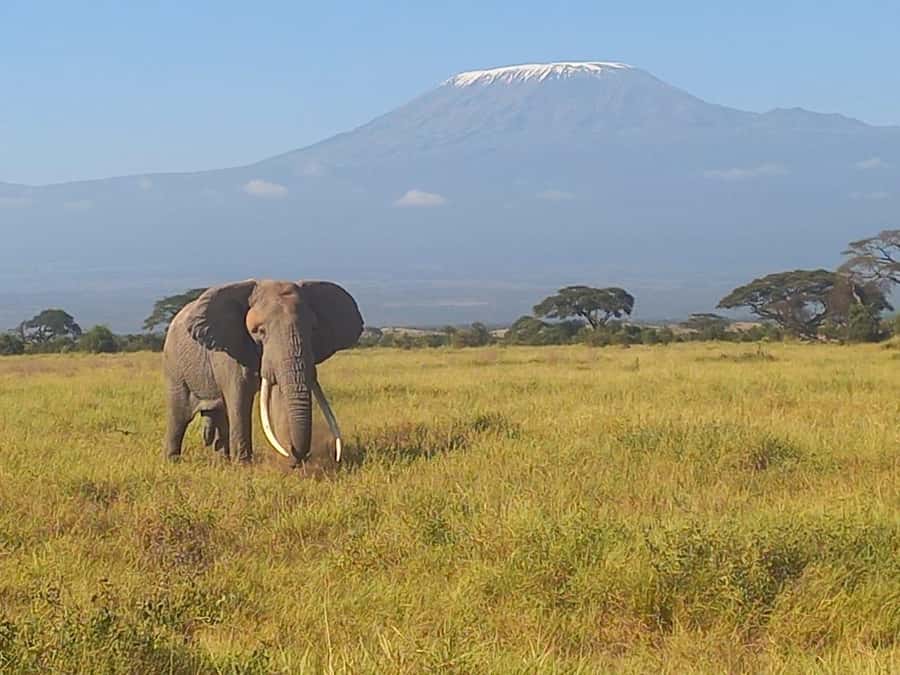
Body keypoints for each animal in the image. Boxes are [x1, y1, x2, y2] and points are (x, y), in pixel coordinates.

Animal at [162, 279, 363, 464]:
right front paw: (244, 465)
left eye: (313, 330)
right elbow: (239, 399)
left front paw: (288, 464)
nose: (298, 455)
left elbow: (279, 397)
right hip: (174, 363)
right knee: (180, 414)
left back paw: (223, 461)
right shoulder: (228, 350)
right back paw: (173, 461)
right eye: (260, 331)